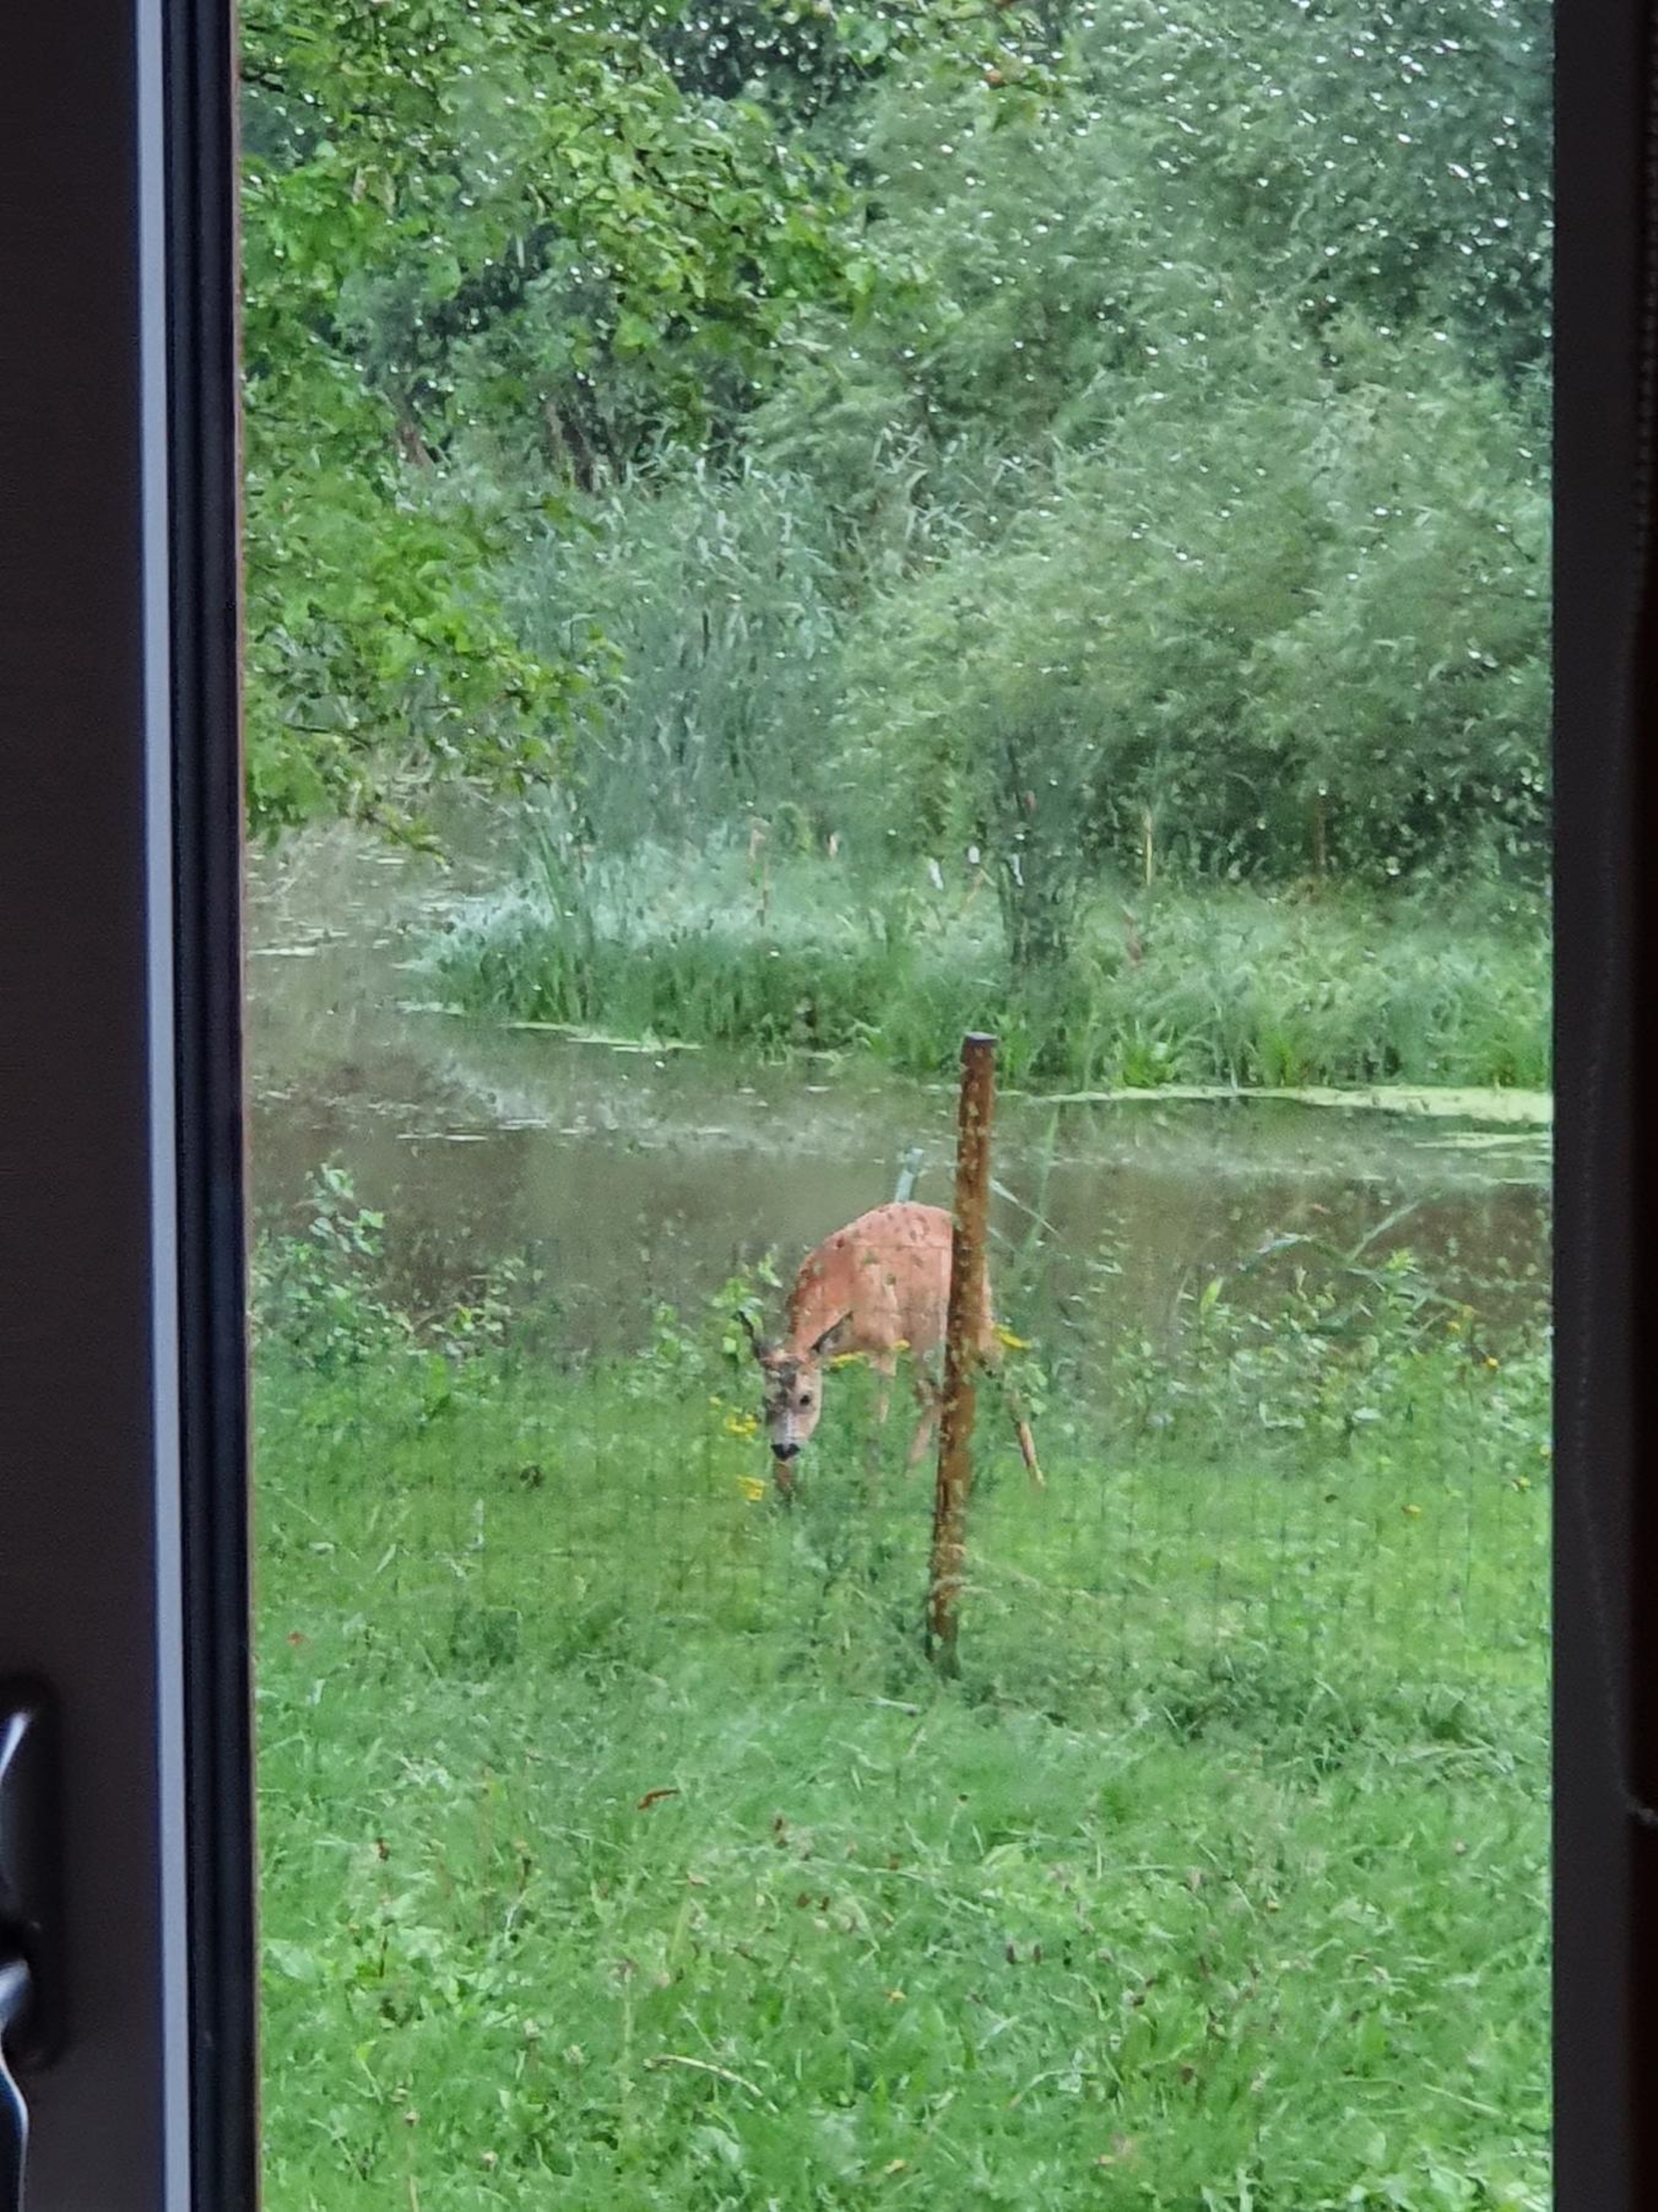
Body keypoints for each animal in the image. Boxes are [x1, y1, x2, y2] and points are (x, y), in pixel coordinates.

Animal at [737, 1200, 1042, 1496]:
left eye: (806, 1399)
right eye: (766, 1400)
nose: (783, 1448)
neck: (844, 1280)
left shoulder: (885, 1345)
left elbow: (876, 1424)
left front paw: (870, 1493)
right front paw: (784, 1490)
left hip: (962, 1318)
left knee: (1002, 1383)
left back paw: (1036, 1481)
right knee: (934, 1395)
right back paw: (910, 1475)